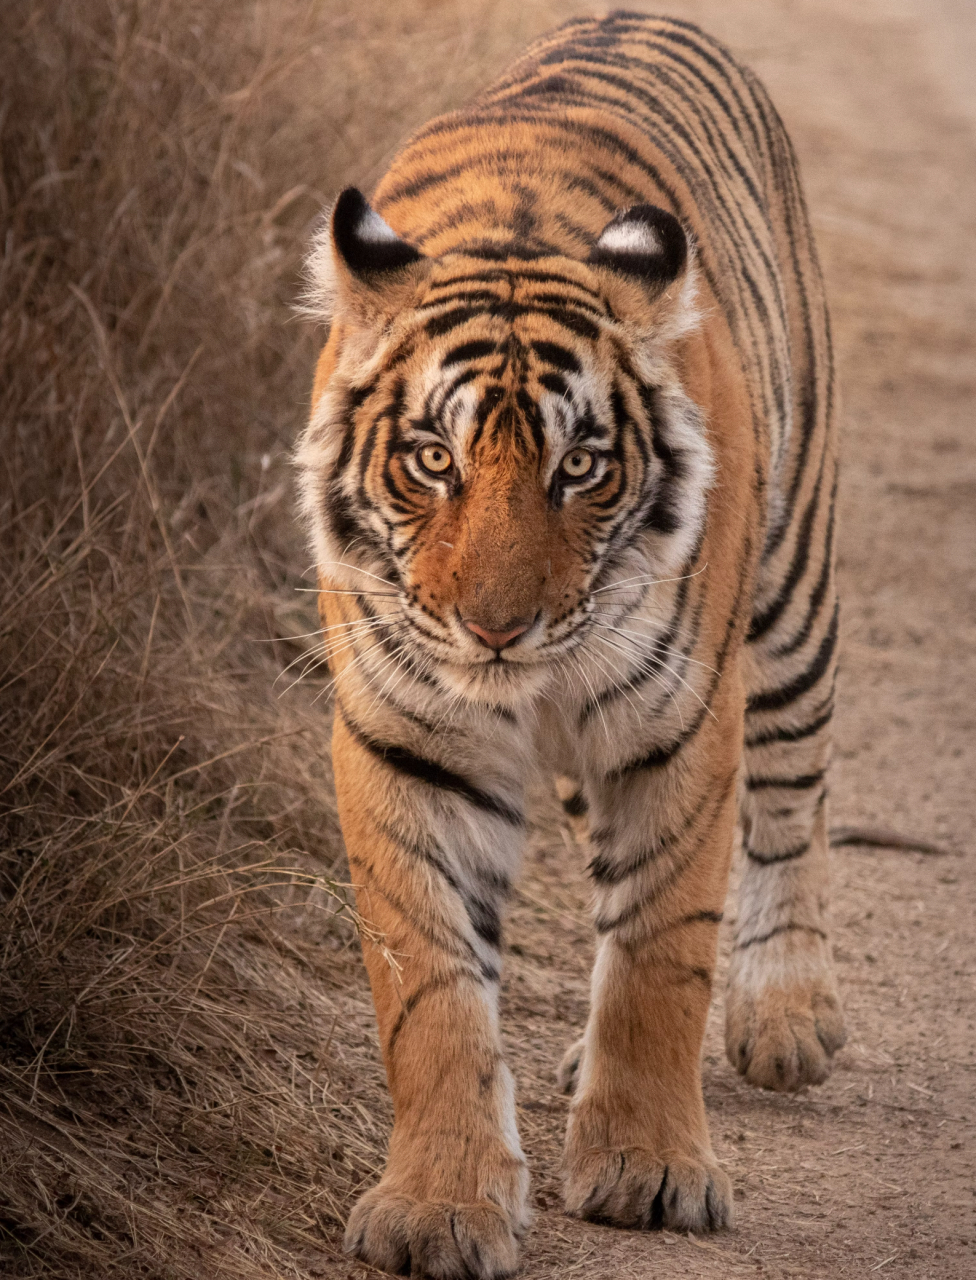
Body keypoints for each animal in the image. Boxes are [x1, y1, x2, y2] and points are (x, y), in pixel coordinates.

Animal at [293, 12, 840, 1280]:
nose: (497, 627)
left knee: (791, 793)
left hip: (790, 591)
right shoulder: (408, 738)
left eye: (580, 466)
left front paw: (648, 1168)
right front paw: (438, 1205)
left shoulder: (677, 724)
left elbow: (660, 952)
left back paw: (786, 1010)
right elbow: (430, 987)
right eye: (432, 460)